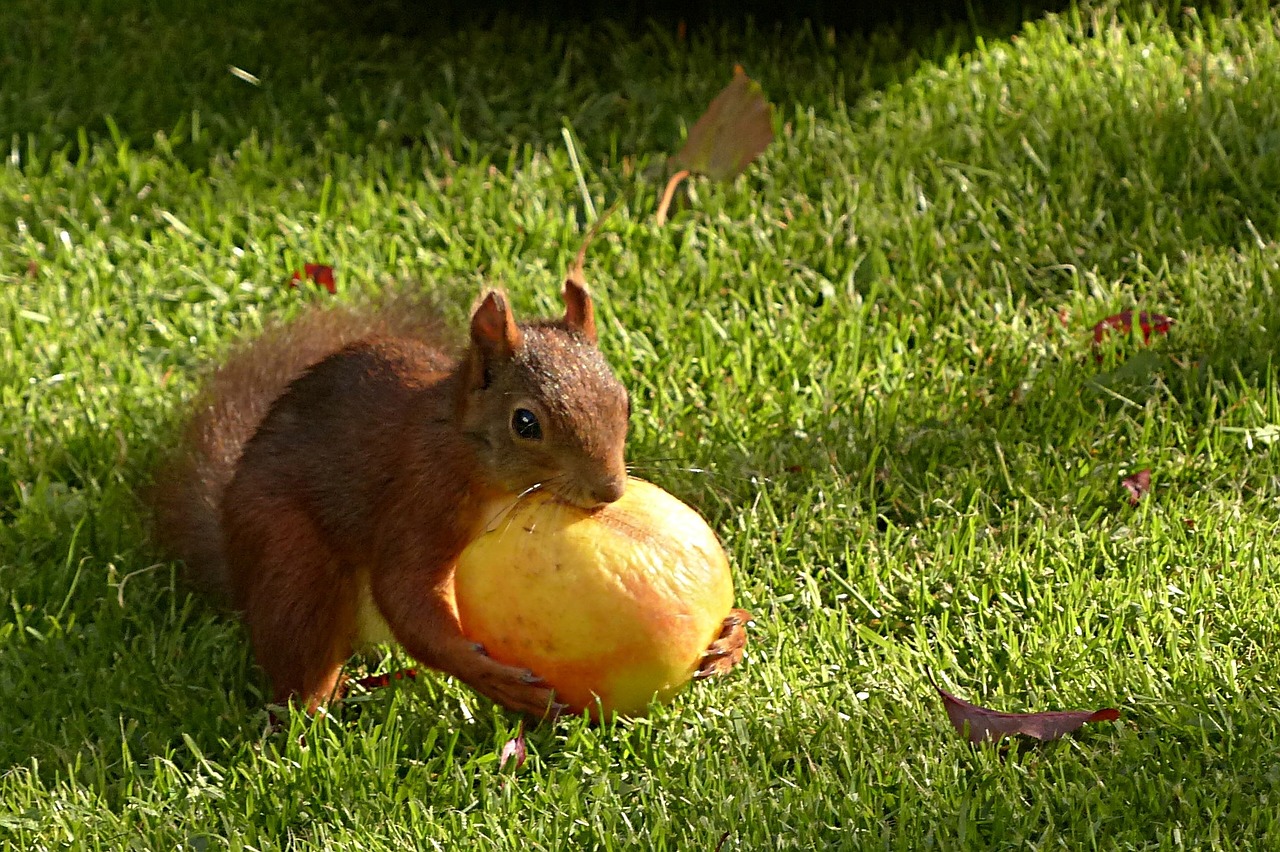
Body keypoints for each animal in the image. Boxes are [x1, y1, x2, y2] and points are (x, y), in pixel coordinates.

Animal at [149, 275, 747, 711]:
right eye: (525, 423)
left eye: (624, 401)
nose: (609, 490)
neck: (469, 452)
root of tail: (231, 546)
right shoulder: (422, 494)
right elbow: (404, 592)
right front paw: (486, 674)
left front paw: (730, 638)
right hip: (289, 556)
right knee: (299, 649)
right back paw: (316, 714)